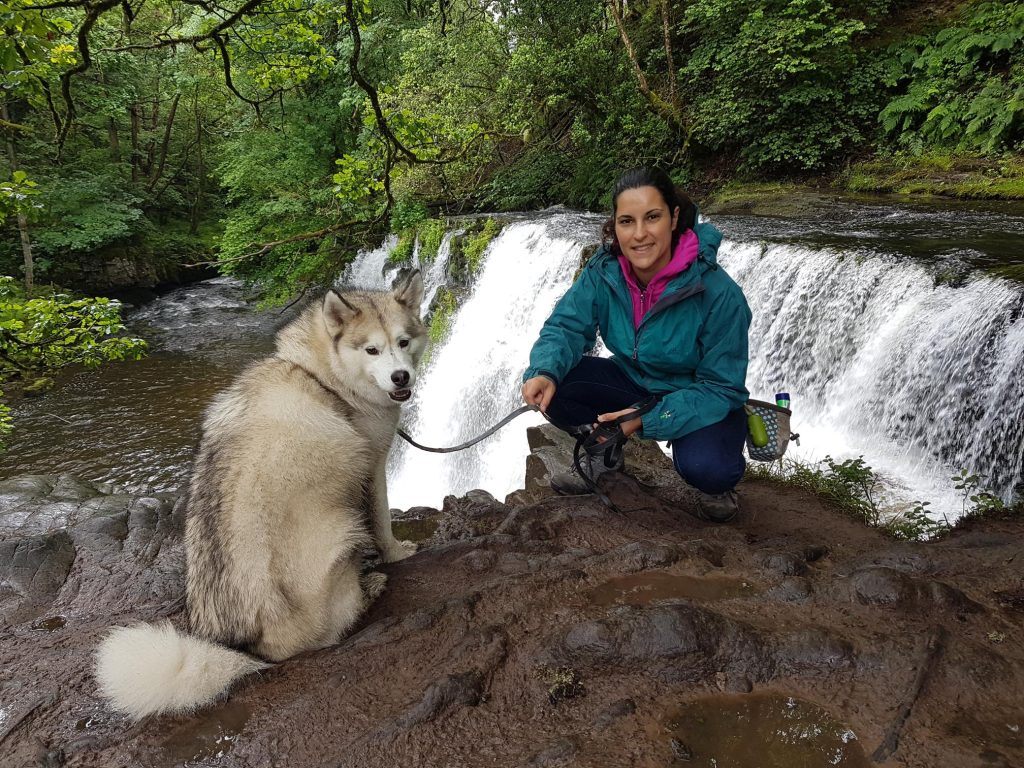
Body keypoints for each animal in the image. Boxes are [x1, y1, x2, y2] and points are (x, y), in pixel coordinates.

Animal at [96, 270, 428, 720]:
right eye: (372, 349)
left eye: (404, 341)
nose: (401, 378)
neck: (322, 377)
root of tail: (248, 648)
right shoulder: (372, 467)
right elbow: (381, 520)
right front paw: (395, 553)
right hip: (339, 534)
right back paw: (370, 587)